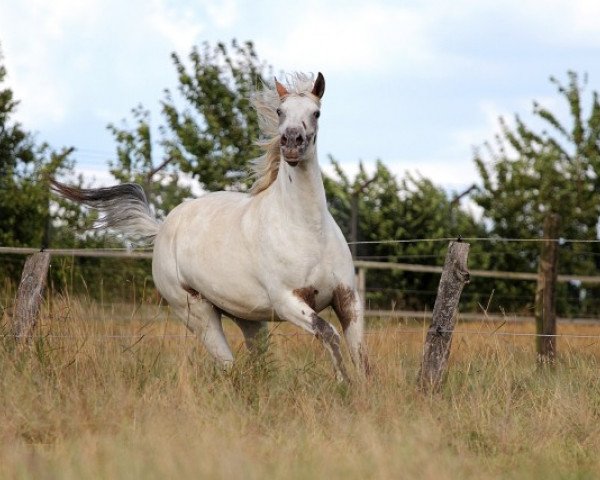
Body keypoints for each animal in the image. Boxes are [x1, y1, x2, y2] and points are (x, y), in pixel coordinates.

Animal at [51, 72, 368, 382]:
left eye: (316, 112)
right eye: (280, 111)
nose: (291, 143)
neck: (306, 229)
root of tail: (162, 228)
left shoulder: (347, 298)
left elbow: (359, 353)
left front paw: (362, 390)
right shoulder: (287, 301)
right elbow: (329, 334)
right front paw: (344, 385)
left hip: (248, 318)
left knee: (258, 366)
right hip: (197, 314)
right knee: (228, 367)